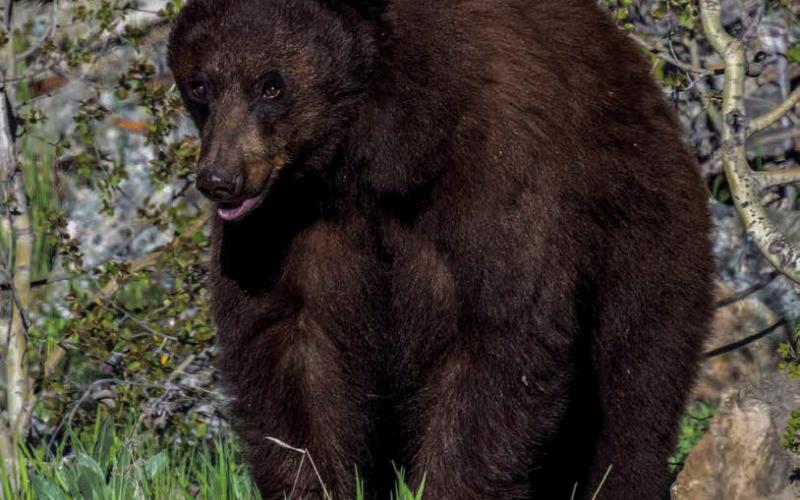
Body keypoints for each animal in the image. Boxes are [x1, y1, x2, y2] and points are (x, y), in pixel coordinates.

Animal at [167, 0, 714, 498]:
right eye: (199, 85)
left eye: (272, 84)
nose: (220, 180)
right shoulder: (284, 225)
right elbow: (289, 344)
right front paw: (315, 483)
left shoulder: (492, 171)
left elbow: (502, 331)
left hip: (644, 242)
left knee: (634, 392)